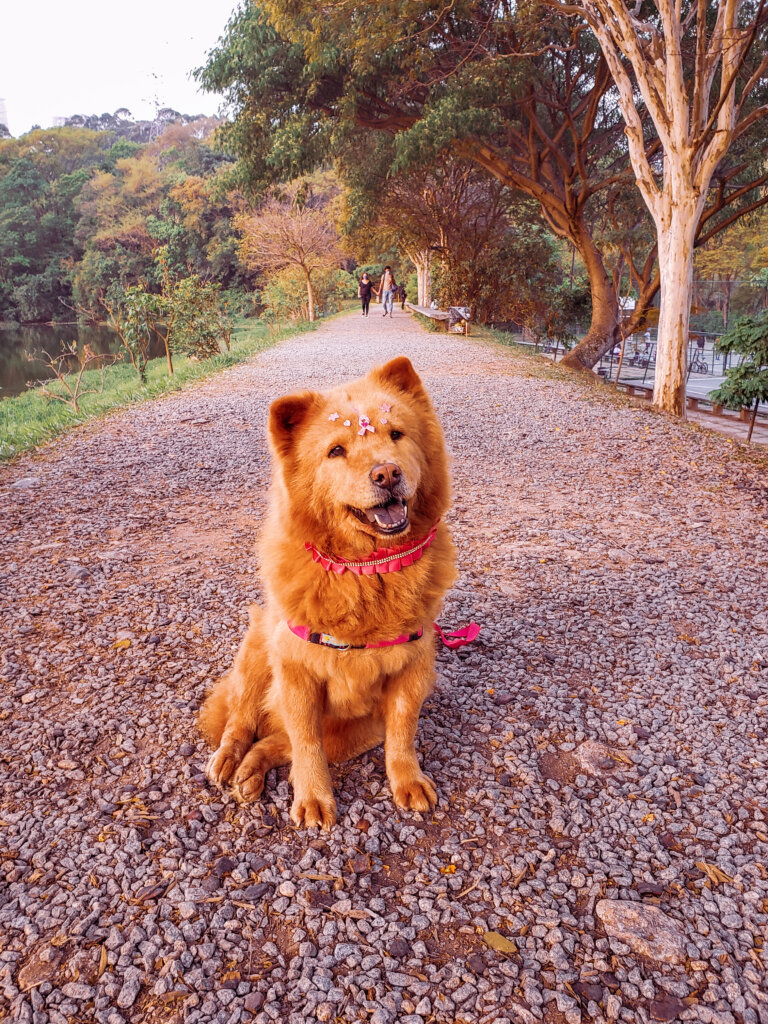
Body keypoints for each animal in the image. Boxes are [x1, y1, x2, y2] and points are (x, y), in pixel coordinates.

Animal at [201, 356, 460, 827]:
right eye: (336, 451)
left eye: (397, 435)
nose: (387, 473)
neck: (367, 569)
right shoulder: (297, 674)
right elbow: (307, 745)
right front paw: (314, 799)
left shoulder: (412, 669)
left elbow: (402, 733)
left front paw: (408, 781)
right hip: (257, 651)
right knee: (241, 722)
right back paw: (229, 760)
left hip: (357, 730)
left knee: (272, 743)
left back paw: (250, 772)